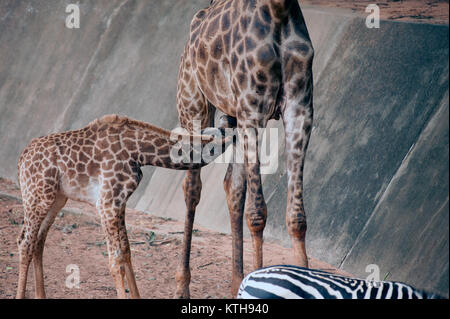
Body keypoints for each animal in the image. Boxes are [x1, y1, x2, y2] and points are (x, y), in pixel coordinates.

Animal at [15, 115, 230, 300]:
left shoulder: (120, 202)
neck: (138, 150)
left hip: (56, 198)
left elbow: (126, 251)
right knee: (25, 242)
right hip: (37, 195)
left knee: (38, 240)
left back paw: (41, 295)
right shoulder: (107, 203)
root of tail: (21, 159)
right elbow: (115, 261)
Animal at [174, 0, 314, 298]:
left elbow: (297, 217)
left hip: (233, 115)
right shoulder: (252, 109)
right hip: (193, 106)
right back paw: (182, 286)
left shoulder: (300, 108)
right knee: (192, 188)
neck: (278, 11)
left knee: (233, 186)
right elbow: (257, 213)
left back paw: (237, 282)